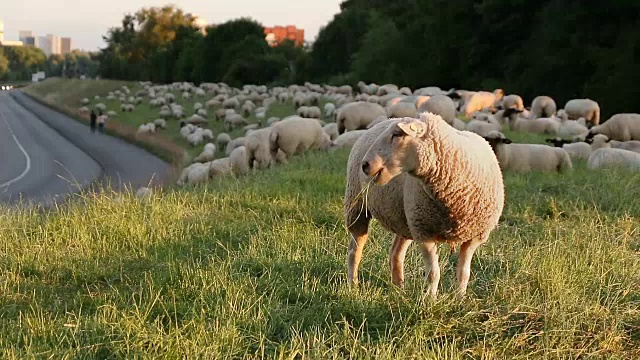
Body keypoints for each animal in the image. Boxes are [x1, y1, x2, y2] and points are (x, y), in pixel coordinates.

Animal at [344, 113, 504, 298]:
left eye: (397, 134)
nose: (366, 165)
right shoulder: (424, 233)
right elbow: (433, 273)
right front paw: (430, 299)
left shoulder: (475, 237)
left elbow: (464, 273)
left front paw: (460, 298)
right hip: (357, 205)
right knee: (355, 251)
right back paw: (353, 285)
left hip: (405, 219)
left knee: (395, 254)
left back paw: (399, 290)